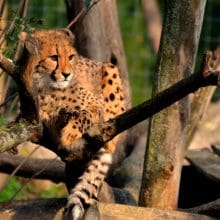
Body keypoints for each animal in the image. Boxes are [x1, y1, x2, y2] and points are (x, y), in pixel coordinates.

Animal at [19, 28, 126, 218]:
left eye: (70, 57)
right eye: (54, 57)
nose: (67, 74)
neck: (47, 85)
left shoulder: (96, 104)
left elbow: (85, 115)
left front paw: (69, 134)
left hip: (109, 69)